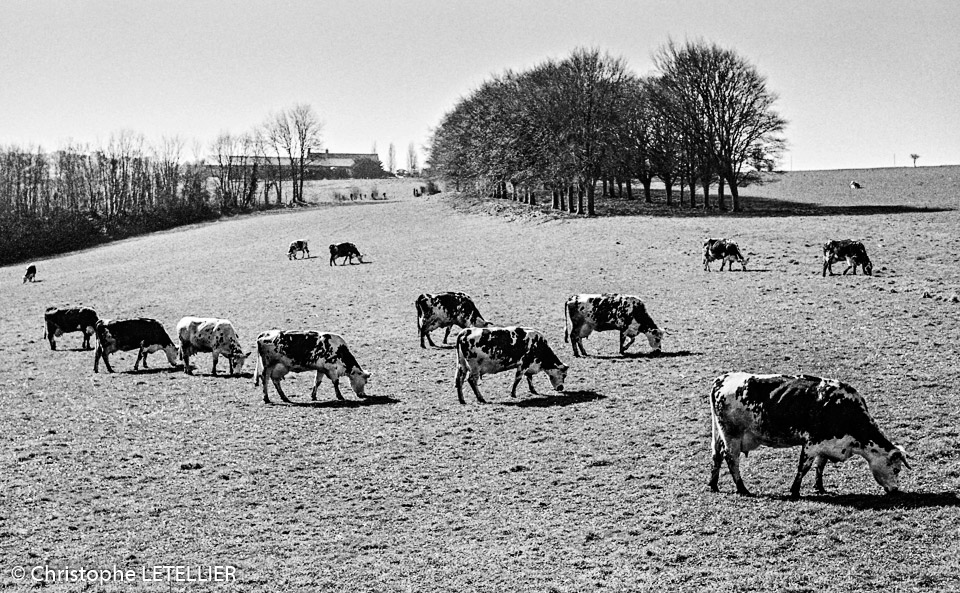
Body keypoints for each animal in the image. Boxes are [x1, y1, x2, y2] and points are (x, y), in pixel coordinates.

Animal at [708, 372, 912, 498]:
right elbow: (803, 468)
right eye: (896, 469)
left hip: (718, 434)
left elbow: (820, 466)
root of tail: (722, 379)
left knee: (716, 456)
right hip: (732, 435)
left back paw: (713, 484)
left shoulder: (827, 444)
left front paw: (819, 487)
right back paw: (742, 489)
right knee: (731, 459)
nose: (895, 490)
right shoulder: (811, 444)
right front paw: (795, 491)